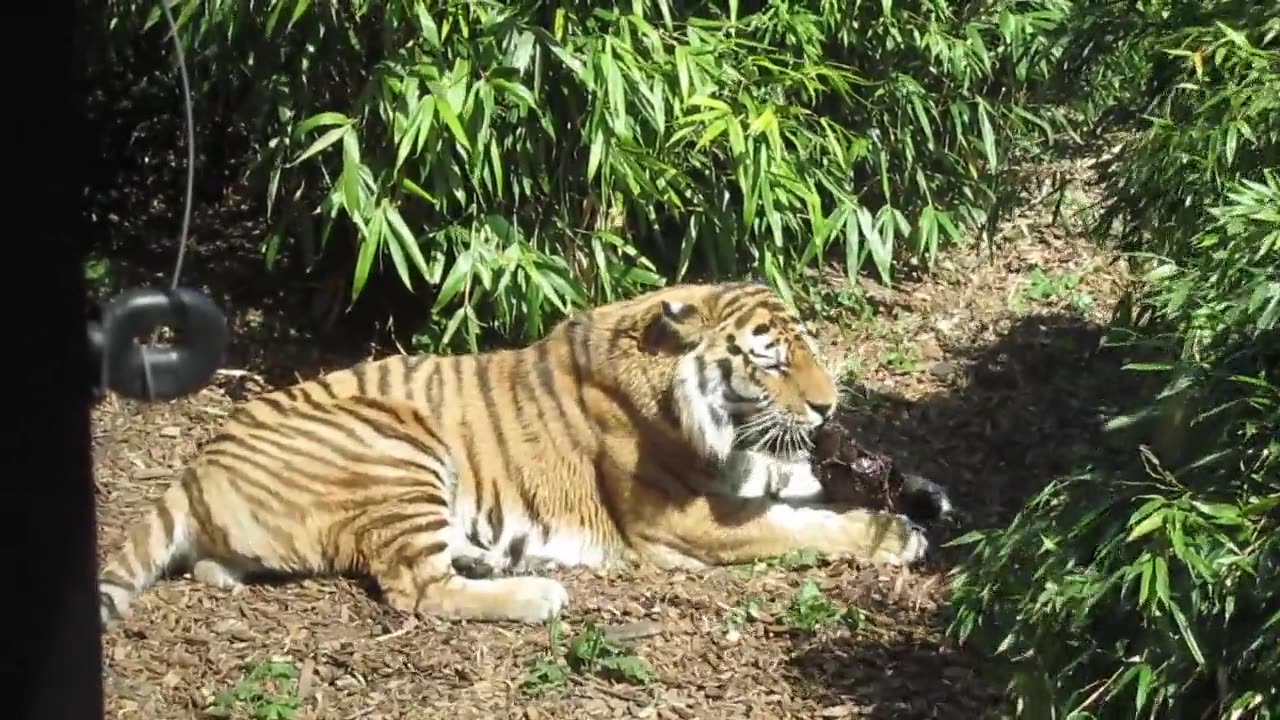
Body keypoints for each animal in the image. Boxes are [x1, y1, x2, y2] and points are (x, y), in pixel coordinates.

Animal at [94, 278, 926, 625]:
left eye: (807, 348)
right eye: (770, 360)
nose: (829, 405)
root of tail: (195, 465)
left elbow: (801, 483)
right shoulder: (684, 519)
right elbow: (796, 523)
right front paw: (894, 534)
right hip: (400, 448)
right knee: (417, 591)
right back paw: (535, 593)